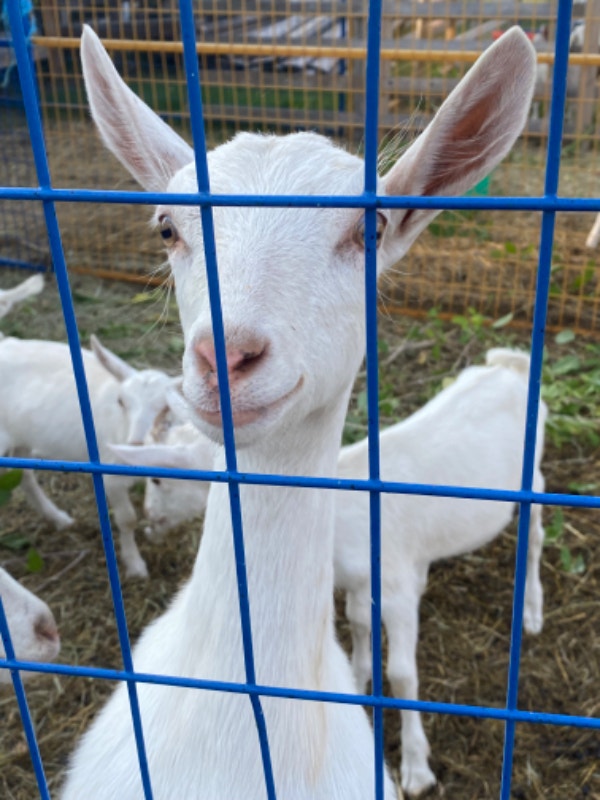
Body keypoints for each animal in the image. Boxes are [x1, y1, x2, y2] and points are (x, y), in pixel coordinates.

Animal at [0, 335, 179, 578]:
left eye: (167, 407)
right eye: (121, 401)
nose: (135, 444)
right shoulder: (111, 474)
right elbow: (128, 520)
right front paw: (135, 566)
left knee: (24, 475)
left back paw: (58, 518)